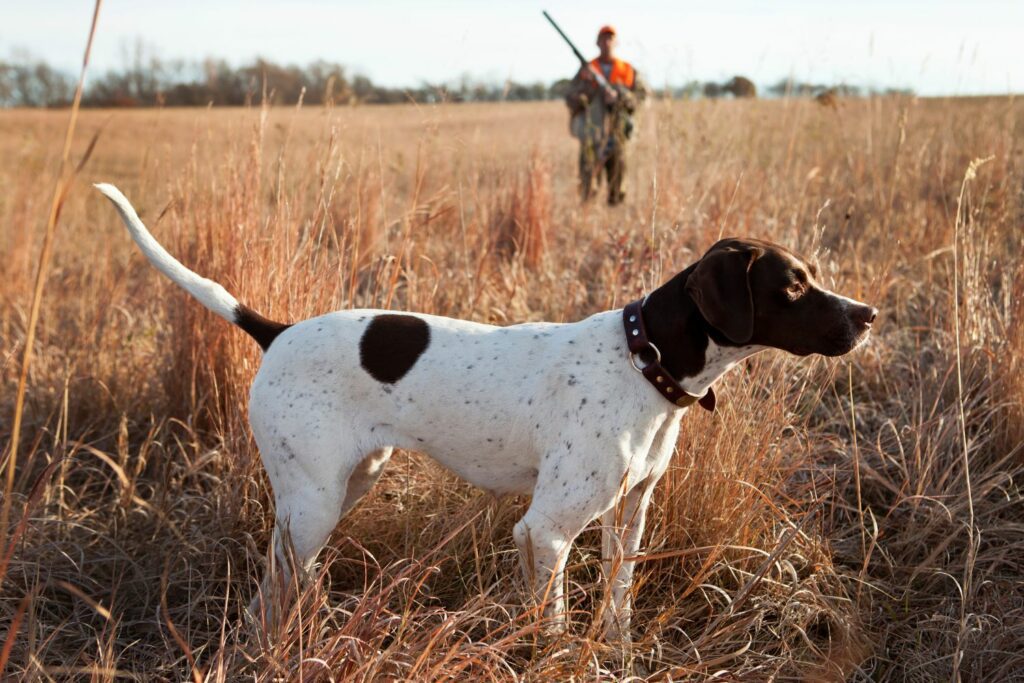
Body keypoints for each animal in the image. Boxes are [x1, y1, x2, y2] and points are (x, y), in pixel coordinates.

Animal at [96, 183, 876, 643]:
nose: (867, 315)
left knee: (289, 577)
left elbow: (618, 602)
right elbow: (553, 625)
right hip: (312, 501)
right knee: (268, 591)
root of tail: (277, 330)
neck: (642, 360)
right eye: (793, 285)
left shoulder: (630, 514)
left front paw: (617, 653)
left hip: (349, 483)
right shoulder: (546, 531)